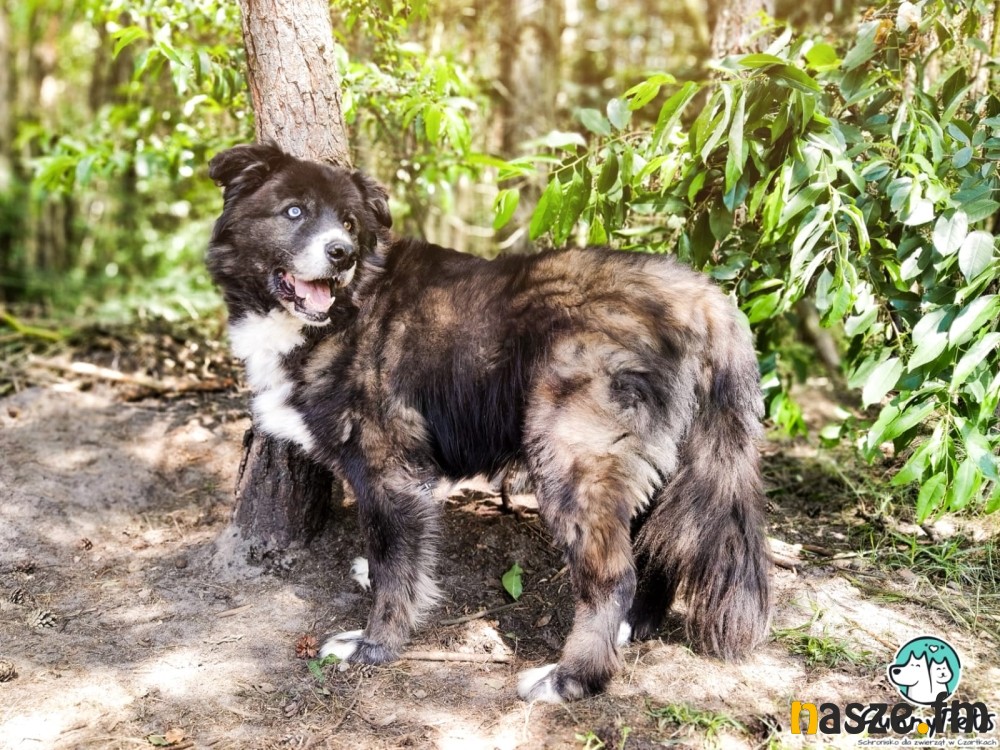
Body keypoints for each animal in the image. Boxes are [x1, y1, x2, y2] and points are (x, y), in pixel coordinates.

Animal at [206, 142, 772, 703]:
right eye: (294, 212)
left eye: (349, 222)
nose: (341, 252)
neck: (350, 307)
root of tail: (702, 297)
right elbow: (396, 558)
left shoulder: (389, 470)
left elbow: (394, 567)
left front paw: (373, 646)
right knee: (658, 549)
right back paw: (632, 626)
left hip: (571, 459)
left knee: (612, 576)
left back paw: (572, 678)